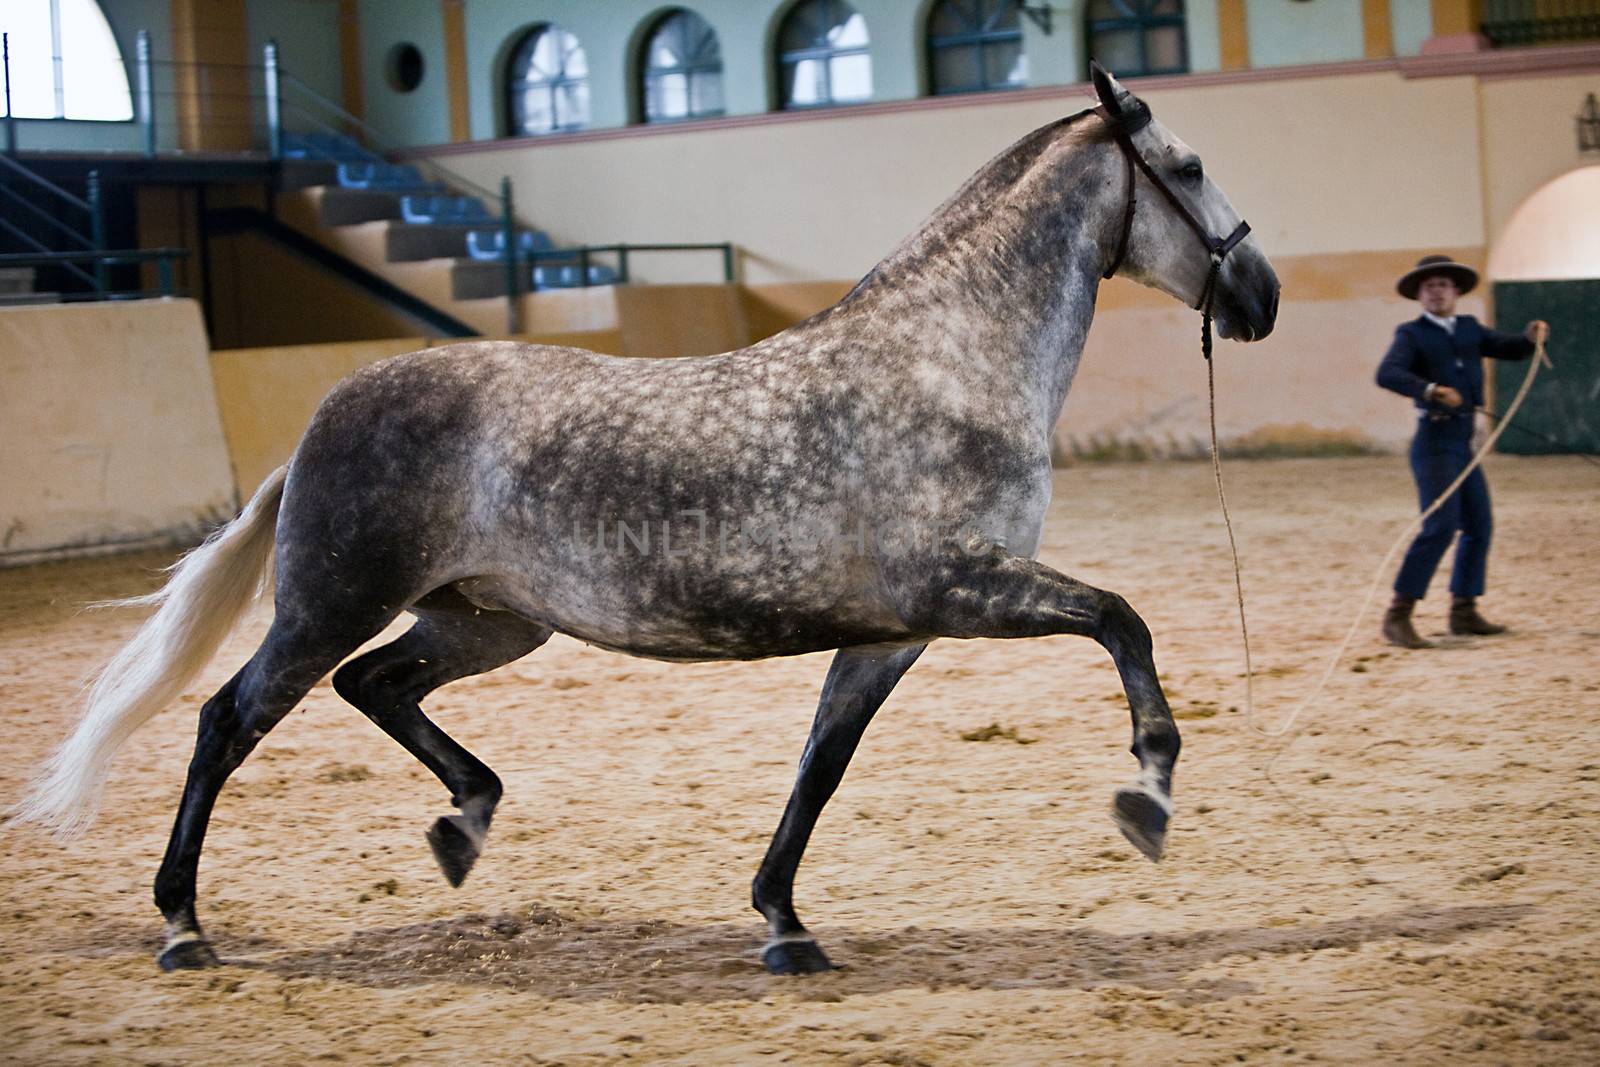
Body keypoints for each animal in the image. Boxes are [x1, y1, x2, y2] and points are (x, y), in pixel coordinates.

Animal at [18, 68, 1273, 979]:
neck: (945, 363)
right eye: (1189, 166)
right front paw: (1147, 796)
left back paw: (463, 825)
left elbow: (819, 769)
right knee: (228, 719)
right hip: (333, 602)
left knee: (374, 686)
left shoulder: (891, 634)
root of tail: (321, 419)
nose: (1257, 293)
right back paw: (184, 926)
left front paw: (784, 924)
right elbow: (1122, 620)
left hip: (485, 621)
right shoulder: (965, 587)